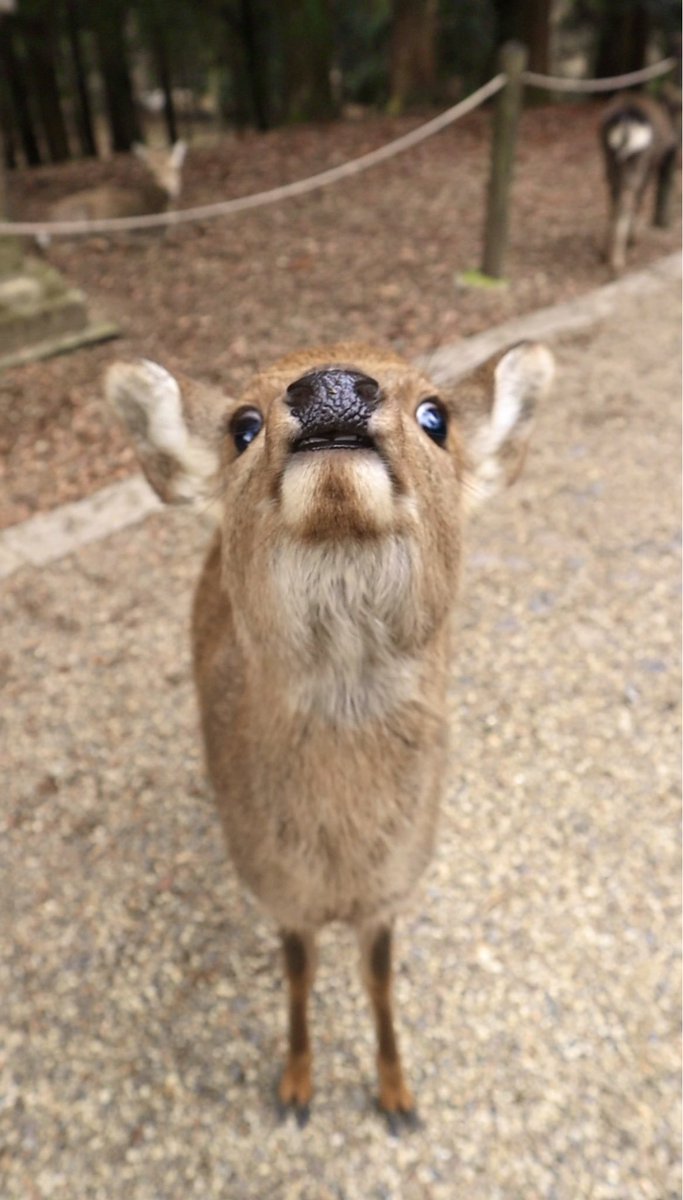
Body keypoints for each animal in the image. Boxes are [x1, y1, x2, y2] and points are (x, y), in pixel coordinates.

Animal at [106, 338, 554, 1126]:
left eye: (435, 415)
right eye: (242, 425)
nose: (332, 389)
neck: (342, 869)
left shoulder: (392, 890)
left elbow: (379, 980)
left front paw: (398, 1097)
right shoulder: (280, 892)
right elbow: (298, 976)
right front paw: (294, 1088)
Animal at [599, 88, 679, 274]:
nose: (673, 143)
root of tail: (626, 128)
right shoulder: (649, 166)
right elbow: (640, 199)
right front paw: (633, 239)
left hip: (610, 161)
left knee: (614, 200)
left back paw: (606, 253)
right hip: (636, 163)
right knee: (627, 203)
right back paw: (618, 260)